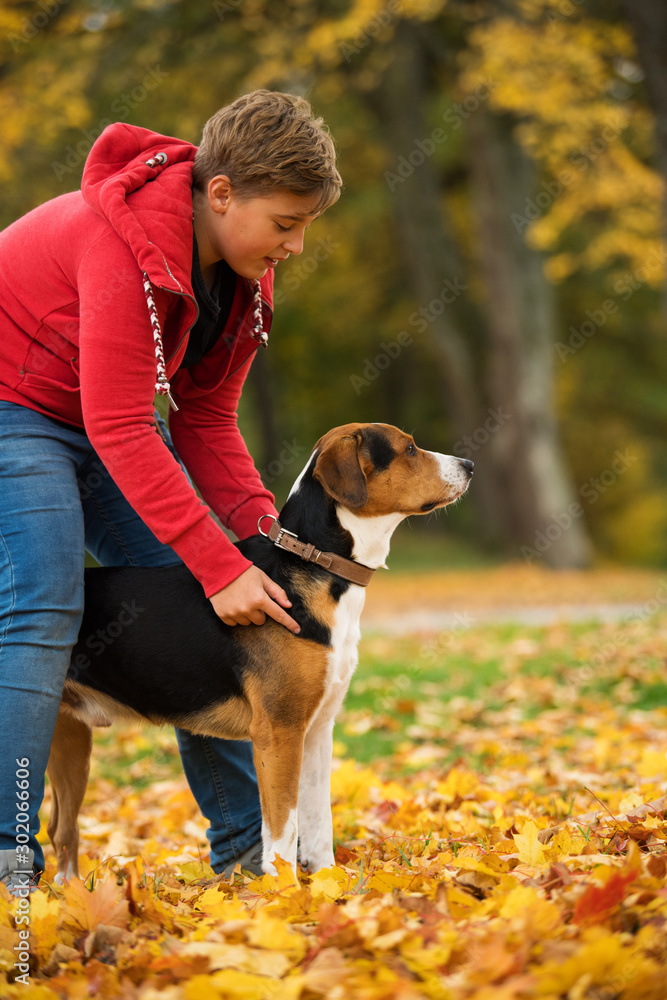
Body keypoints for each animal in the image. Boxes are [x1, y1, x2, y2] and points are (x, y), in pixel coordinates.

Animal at [47, 422, 472, 884]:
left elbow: (318, 822)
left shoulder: (317, 730)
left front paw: (327, 885)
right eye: (408, 449)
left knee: (62, 832)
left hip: (71, 742)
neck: (318, 566)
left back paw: (69, 896)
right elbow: (284, 827)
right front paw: (285, 890)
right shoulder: (279, 732)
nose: (469, 465)